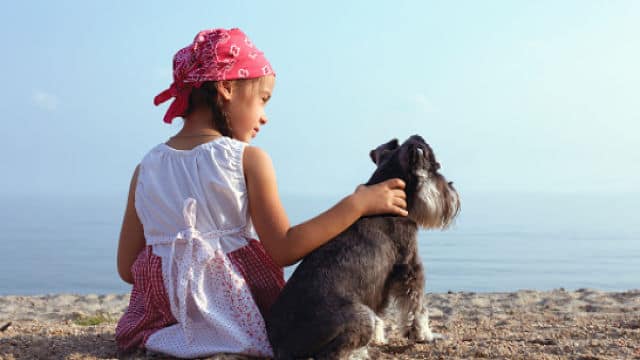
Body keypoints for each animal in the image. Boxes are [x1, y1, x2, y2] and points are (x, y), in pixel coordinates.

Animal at [264, 135, 460, 360]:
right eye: (436, 168)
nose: (454, 193)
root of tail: (280, 345)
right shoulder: (410, 266)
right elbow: (417, 306)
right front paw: (425, 335)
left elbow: (381, 313)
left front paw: (380, 337)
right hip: (360, 316)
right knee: (330, 354)